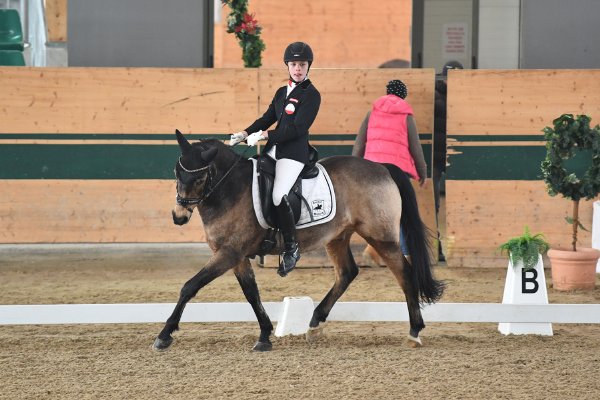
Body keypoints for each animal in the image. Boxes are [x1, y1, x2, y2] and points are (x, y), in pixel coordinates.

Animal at [154, 130, 446, 352]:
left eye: (200, 177)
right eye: (177, 172)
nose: (179, 217)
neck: (230, 190)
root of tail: (381, 167)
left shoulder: (229, 253)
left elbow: (190, 287)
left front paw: (165, 335)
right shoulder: (235, 256)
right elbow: (251, 294)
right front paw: (264, 335)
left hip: (381, 238)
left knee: (405, 274)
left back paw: (414, 332)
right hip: (337, 237)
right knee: (347, 273)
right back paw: (315, 323)